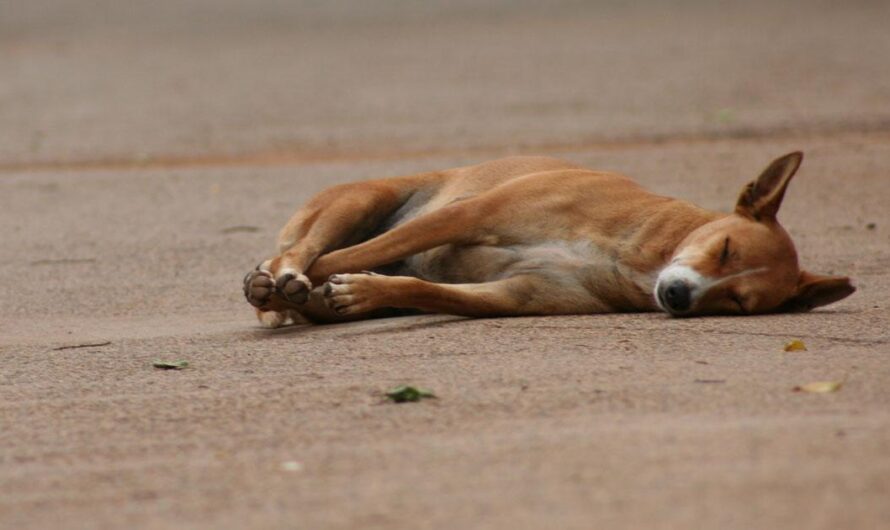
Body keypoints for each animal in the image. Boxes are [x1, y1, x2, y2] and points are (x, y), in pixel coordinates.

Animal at [243, 152, 852, 326]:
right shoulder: (468, 215)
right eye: (725, 248)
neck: (634, 254)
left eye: (738, 302)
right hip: (358, 202)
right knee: (305, 251)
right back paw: (277, 279)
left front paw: (369, 290)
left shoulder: (516, 295)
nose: (677, 296)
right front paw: (279, 283)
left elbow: (427, 290)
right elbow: (351, 256)